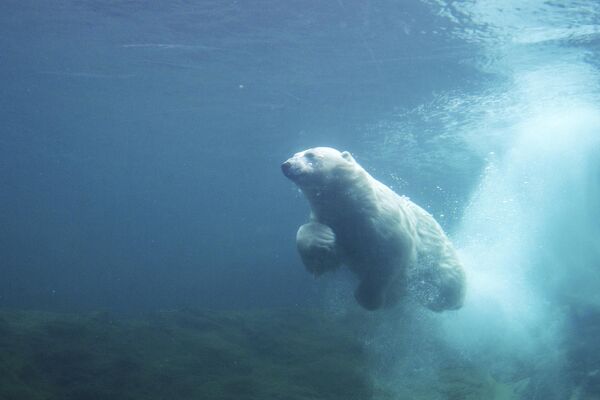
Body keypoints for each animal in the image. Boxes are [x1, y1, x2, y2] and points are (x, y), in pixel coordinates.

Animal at [284, 148, 466, 312]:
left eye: (310, 154)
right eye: (294, 154)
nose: (286, 165)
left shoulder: (384, 223)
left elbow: (389, 258)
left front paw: (368, 298)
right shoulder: (335, 221)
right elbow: (324, 252)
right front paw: (324, 239)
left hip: (443, 261)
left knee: (449, 282)